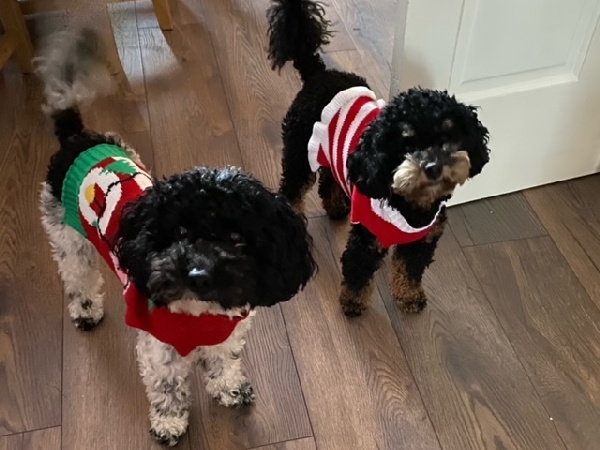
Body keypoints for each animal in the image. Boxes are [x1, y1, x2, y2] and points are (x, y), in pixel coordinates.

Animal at [36, 29, 318, 446]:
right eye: (181, 232)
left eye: (237, 237)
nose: (197, 274)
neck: (202, 313)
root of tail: (78, 137)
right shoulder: (159, 347)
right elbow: (167, 386)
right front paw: (169, 422)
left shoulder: (226, 334)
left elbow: (224, 363)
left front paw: (229, 388)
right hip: (67, 235)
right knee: (78, 276)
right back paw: (86, 309)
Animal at [266, 0, 488, 316]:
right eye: (405, 143)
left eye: (449, 137)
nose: (433, 166)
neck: (412, 208)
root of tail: (319, 73)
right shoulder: (366, 240)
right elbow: (358, 275)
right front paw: (353, 303)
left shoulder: (422, 241)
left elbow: (409, 271)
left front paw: (409, 297)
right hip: (299, 153)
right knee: (293, 189)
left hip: (336, 157)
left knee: (330, 179)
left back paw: (336, 206)